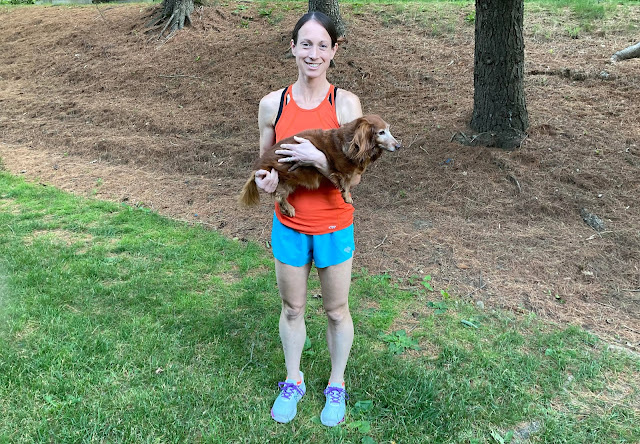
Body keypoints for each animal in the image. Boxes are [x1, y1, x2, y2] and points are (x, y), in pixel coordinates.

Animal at [239, 114, 400, 217]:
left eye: (388, 129)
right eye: (381, 132)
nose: (398, 146)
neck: (350, 142)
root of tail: (258, 167)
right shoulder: (344, 171)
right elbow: (346, 183)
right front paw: (347, 197)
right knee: (279, 197)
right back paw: (290, 209)